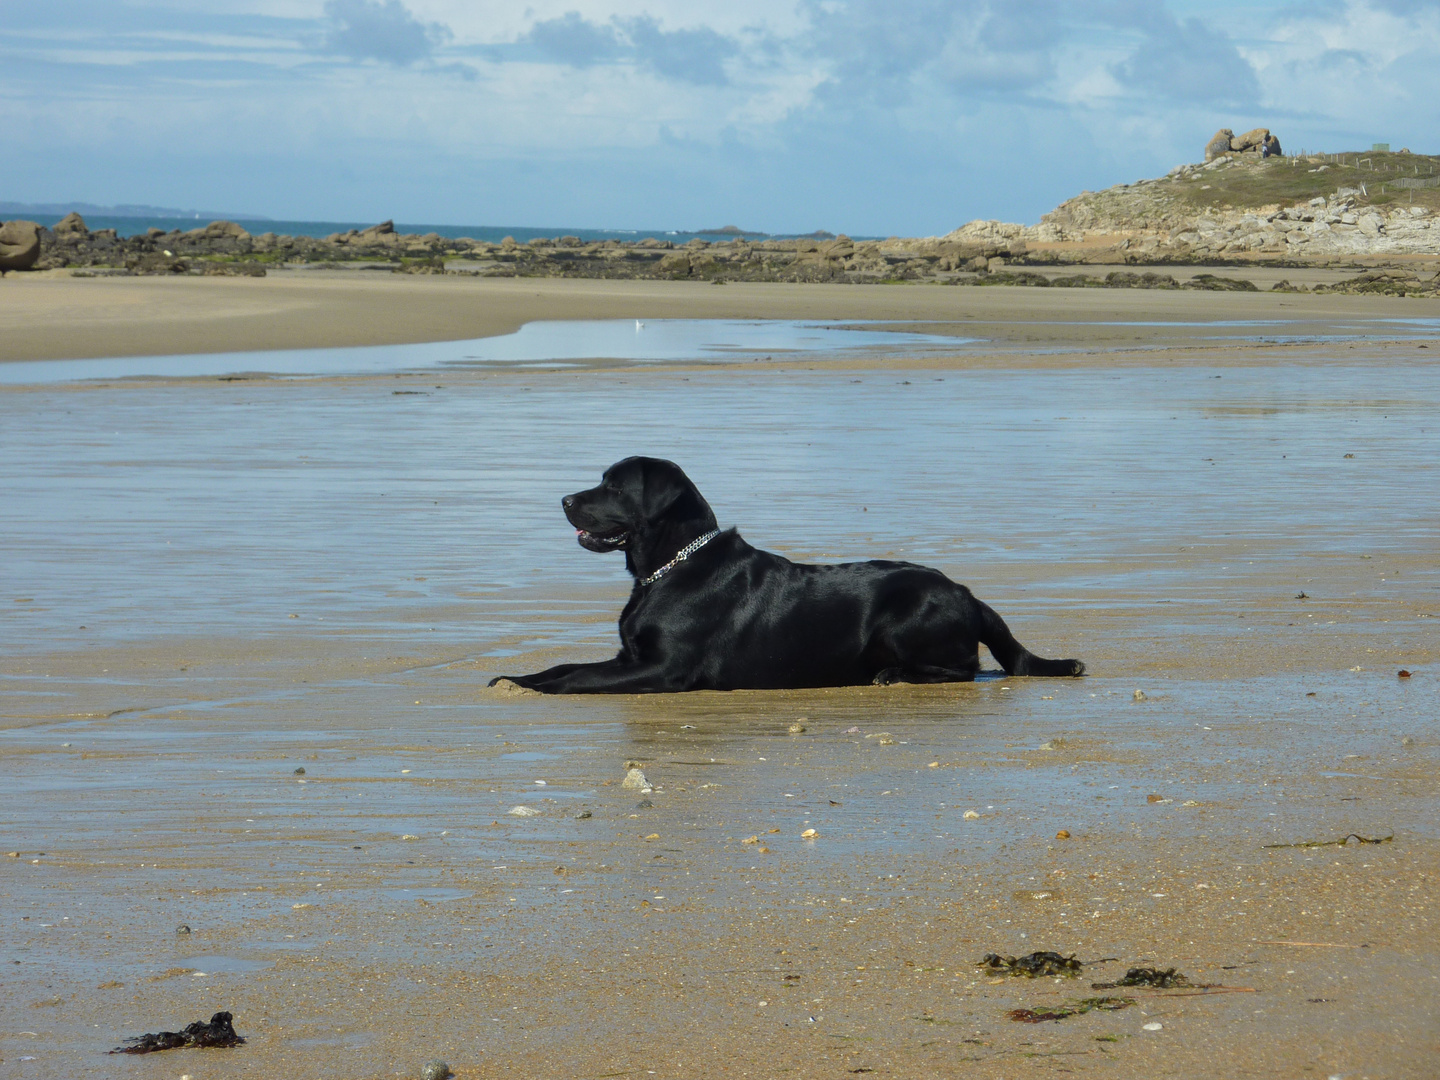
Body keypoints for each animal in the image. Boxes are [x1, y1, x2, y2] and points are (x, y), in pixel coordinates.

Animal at [486, 455, 1082, 694]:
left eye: (613, 486)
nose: (564, 500)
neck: (669, 566)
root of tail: (970, 593)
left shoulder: (663, 668)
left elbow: (577, 678)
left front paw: (539, 689)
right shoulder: (629, 656)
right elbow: (566, 664)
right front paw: (516, 678)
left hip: (907, 612)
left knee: (963, 668)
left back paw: (891, 675)